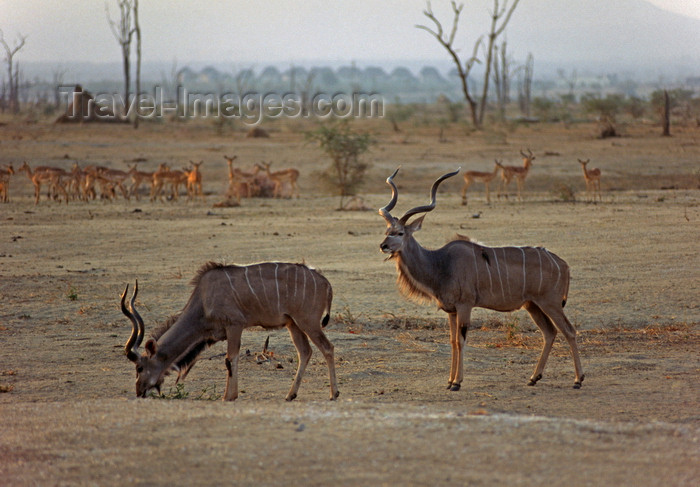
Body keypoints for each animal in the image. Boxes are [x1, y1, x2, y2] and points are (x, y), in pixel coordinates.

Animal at [121, 262, 340, 402]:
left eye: (139, 367)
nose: (139, 391)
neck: (203, 300)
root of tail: (326, 283)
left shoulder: (235, 325)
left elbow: (230, 359)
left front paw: (228, 396)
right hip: (292, 324)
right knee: (305, 351)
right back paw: (290, 395)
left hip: (308, 322)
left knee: (327, 347)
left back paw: (333, 394)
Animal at [380, 169, 584, 392]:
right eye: (386, 231)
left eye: (400, 233)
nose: (383, 246)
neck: (440, 263)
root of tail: (563, 264)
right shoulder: (451, 311)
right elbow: (452, 341)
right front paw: (449, 381)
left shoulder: (465, 305)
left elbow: (461, 341)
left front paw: (457, 383)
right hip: (533, 305)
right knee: (549, 333)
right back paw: (533, 378)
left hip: (550, 303)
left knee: (569, 331)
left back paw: (578, 380)